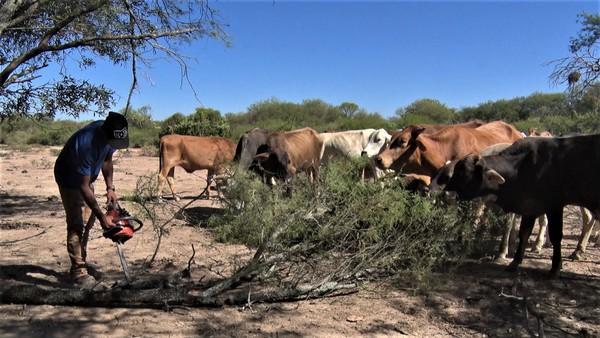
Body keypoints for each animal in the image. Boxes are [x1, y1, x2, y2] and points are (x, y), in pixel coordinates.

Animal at [440, 133, 600, 276]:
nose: (447, 194)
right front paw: (515, 262)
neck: (524, 165)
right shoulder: (529, 207)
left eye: (465, 174)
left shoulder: (554, 206)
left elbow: (555, 236)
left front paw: (555, 267)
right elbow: (524, 234)